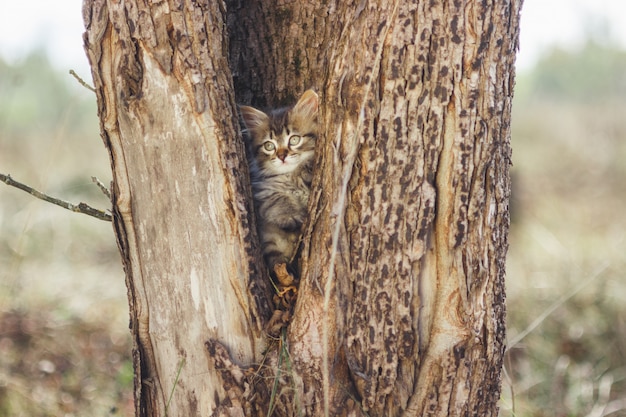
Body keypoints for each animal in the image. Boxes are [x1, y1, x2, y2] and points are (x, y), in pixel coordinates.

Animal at [239, 89, 316, 268]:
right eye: (269, 146)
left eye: (294, 139)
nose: (281, 156)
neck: (290, 176)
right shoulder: (261, 190)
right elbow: (278, 198)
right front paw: (291, 215)